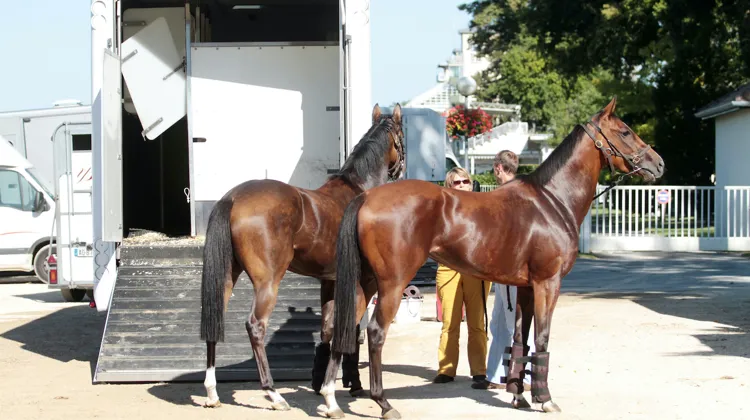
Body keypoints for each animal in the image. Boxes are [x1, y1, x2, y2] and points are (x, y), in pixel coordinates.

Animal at [199, 103, 405, 410]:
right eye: (402, 135)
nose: (402, 170)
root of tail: (233, 198)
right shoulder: (356, 282)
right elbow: (349, 330)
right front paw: (349, 384)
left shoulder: (329, 281)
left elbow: (328, 329)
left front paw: (321, 381)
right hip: (268, 282)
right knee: (255, 326)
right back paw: (273, 393)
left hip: (225, 276)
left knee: (215, 317)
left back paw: (212, 392)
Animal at [319, 97, 665, 418]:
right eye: (625, 131)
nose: (659, 164)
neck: (551, 201)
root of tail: (366, 197)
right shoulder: (547, 284)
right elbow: (542, 338)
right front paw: (544, 398)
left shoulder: (525, 287)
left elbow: (520, 339)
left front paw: (518, 394)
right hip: (391, 284)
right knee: (375, 332)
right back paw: (384, 403)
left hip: (364, 283)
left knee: (340, 328)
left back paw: (330, 399)